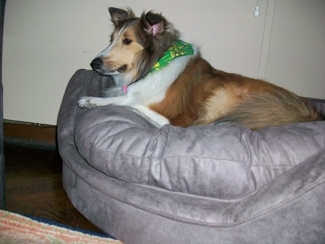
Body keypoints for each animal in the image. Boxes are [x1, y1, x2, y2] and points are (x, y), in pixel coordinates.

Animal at [77, 7, 320, 130]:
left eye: (127, 41)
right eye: (111, 39)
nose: (94, 63)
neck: (154, 65)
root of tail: (312, 113)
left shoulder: (170, 115)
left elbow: (126, 102)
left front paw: (91, 100)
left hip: (221, 96)